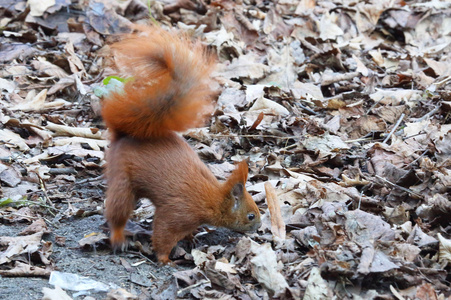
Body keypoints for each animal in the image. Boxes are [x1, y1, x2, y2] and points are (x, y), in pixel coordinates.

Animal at [101, 27, 262, 264]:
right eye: (250, 215)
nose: (259, 226)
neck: (213, 199)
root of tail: (123, 136)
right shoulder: (179, 213)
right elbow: (164, 234)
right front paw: (164, 259)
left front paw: (192, 238)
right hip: (122, 180)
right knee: (117, 212)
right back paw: (119, 237)